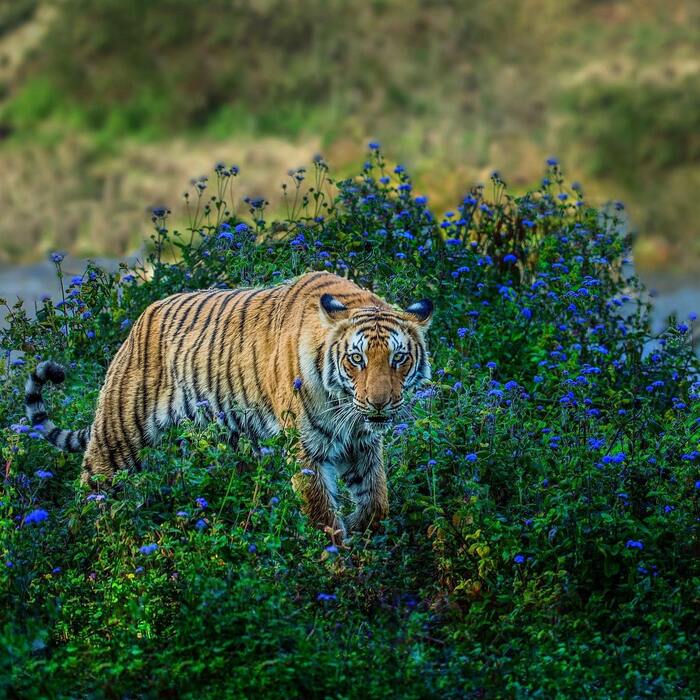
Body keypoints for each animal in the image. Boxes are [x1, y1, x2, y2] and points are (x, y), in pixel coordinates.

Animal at [24, 272, 432, 536]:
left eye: (398, 358)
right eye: (356, 359)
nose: (379, 404)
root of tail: (138, 321)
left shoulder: (362, 442)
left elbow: (376, 499)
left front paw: (365, 535)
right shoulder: (307, 450)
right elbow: (323, 515)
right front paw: (341, 564)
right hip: (120, 435)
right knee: (90, 489)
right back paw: (92, 543)